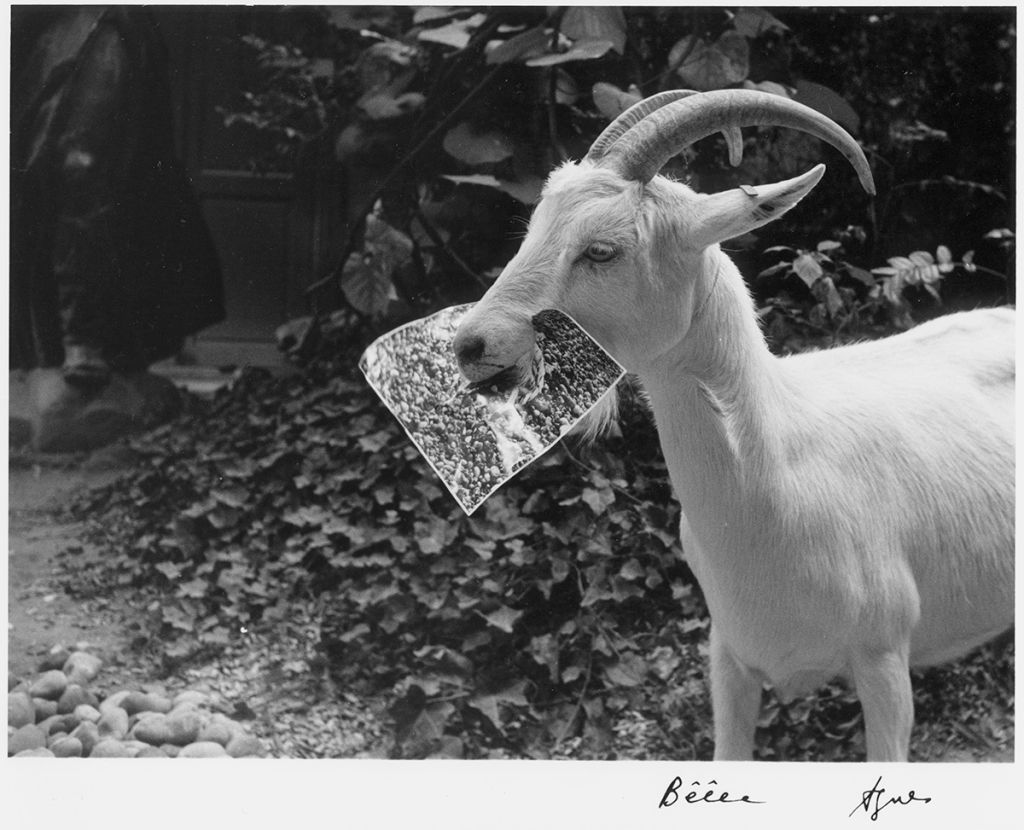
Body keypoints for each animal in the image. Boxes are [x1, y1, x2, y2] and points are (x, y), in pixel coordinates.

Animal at [456, 89, 1015, 761]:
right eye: (533, 229)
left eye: (601, 250)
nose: (470, 344)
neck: (775, 488)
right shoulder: (729, 656)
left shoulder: (884, 660)